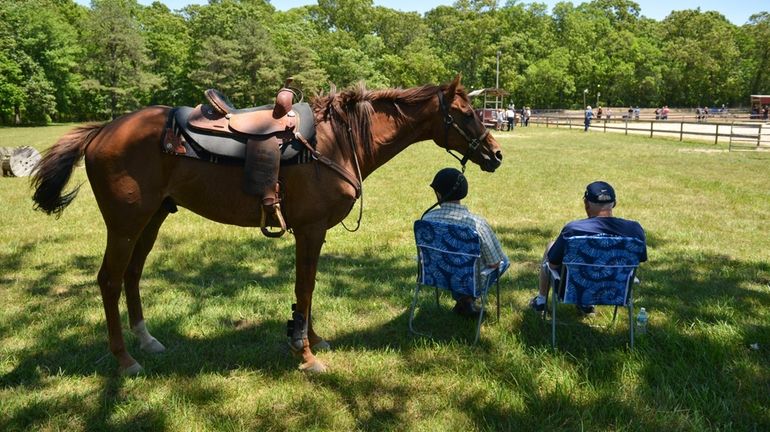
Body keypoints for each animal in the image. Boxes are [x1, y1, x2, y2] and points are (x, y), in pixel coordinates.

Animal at [30, 76, 500, 376]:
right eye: (466, 114)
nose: (496, 154)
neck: (336, 141)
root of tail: (103, 129)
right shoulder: (311, 229)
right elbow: (305, 287)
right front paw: (305, 354)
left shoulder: (312, 233)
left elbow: (306, 287)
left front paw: (308, 337)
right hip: (126, 224)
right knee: (109, 280)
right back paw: (126, 360)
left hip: (152, 220)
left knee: (131, 275)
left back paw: (147, 341)